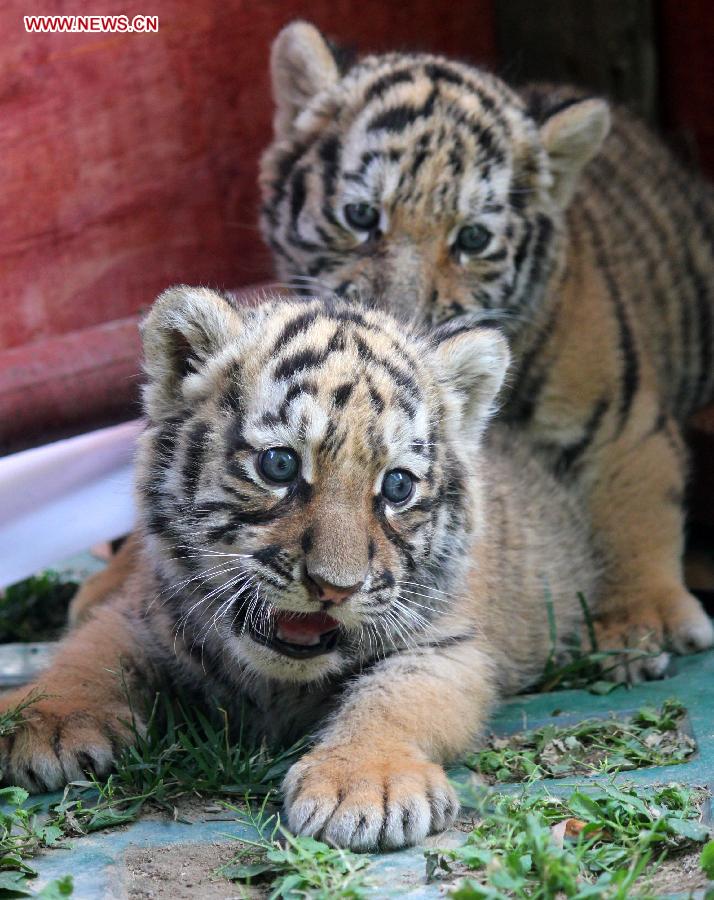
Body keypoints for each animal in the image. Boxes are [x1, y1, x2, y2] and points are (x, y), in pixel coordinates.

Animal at [0, 286, 600, 850]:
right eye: (280, 464)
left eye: (397, 486)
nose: (334, 588)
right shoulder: (146, 611)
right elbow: (89, 656)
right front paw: (41, 722)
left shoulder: (445, 647)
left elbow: (396, 702)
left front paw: (366, 783)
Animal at [70, 21, 714, 682]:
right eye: (360, 216)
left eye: (472, 238)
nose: (399, 320)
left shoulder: (624, 424)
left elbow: (639, 512)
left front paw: (642, 622)